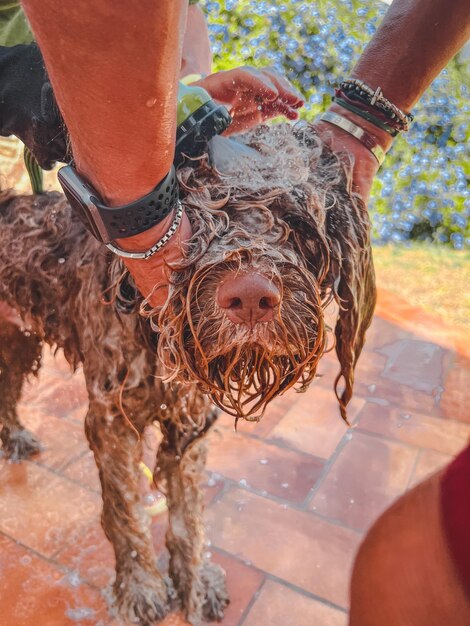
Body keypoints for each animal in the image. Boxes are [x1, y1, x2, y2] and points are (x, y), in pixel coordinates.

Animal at [0, 124, 376, 620]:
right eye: (192, 214)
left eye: (296, 222)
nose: (250, 297)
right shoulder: (111, 420)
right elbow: (126, 510)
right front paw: (141, 585)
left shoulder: (191, 423)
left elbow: (188, 518)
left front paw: (195, 582)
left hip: (17, 339)